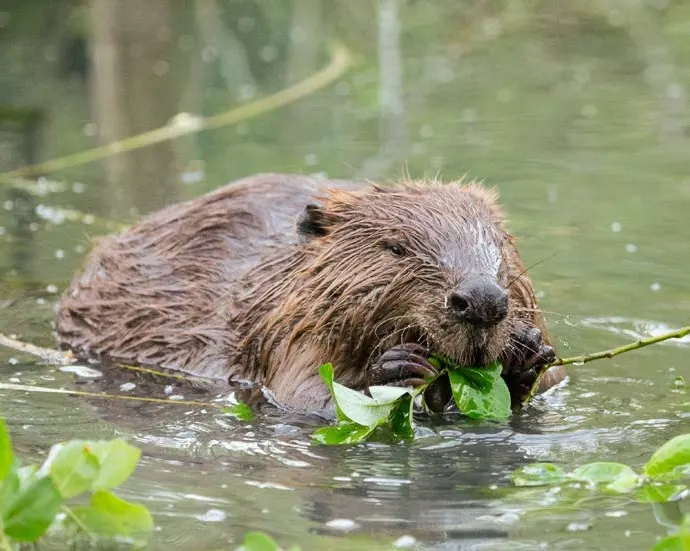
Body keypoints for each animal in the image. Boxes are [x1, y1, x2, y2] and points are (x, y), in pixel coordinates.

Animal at [57, 175, 564, 412]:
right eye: (395, 247)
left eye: (497, 243)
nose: (481, 300)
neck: (281, 277)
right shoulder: (292, 328)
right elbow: (304, 394)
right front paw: (398, 366)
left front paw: (526, 355)